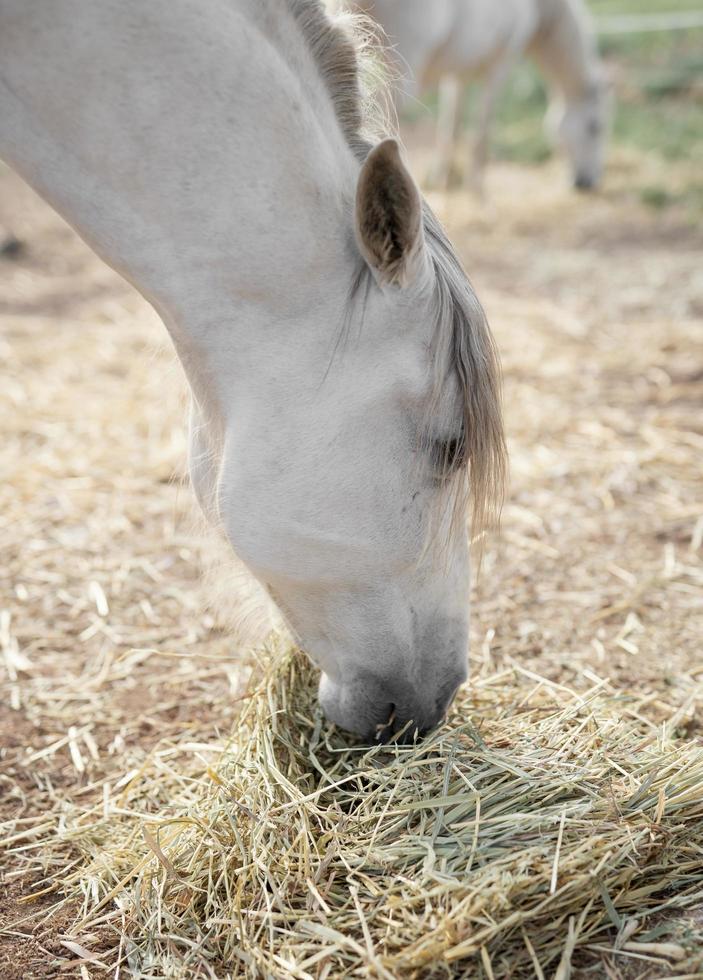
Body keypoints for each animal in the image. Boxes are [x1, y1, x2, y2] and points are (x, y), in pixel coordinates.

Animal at [352, 0, 612, 192]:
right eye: (595, 127)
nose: (587, 183)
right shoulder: (499, 67)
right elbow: (482, 133)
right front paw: (476, 189)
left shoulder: (457, 73)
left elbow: (452, 127)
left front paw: (444, 179)